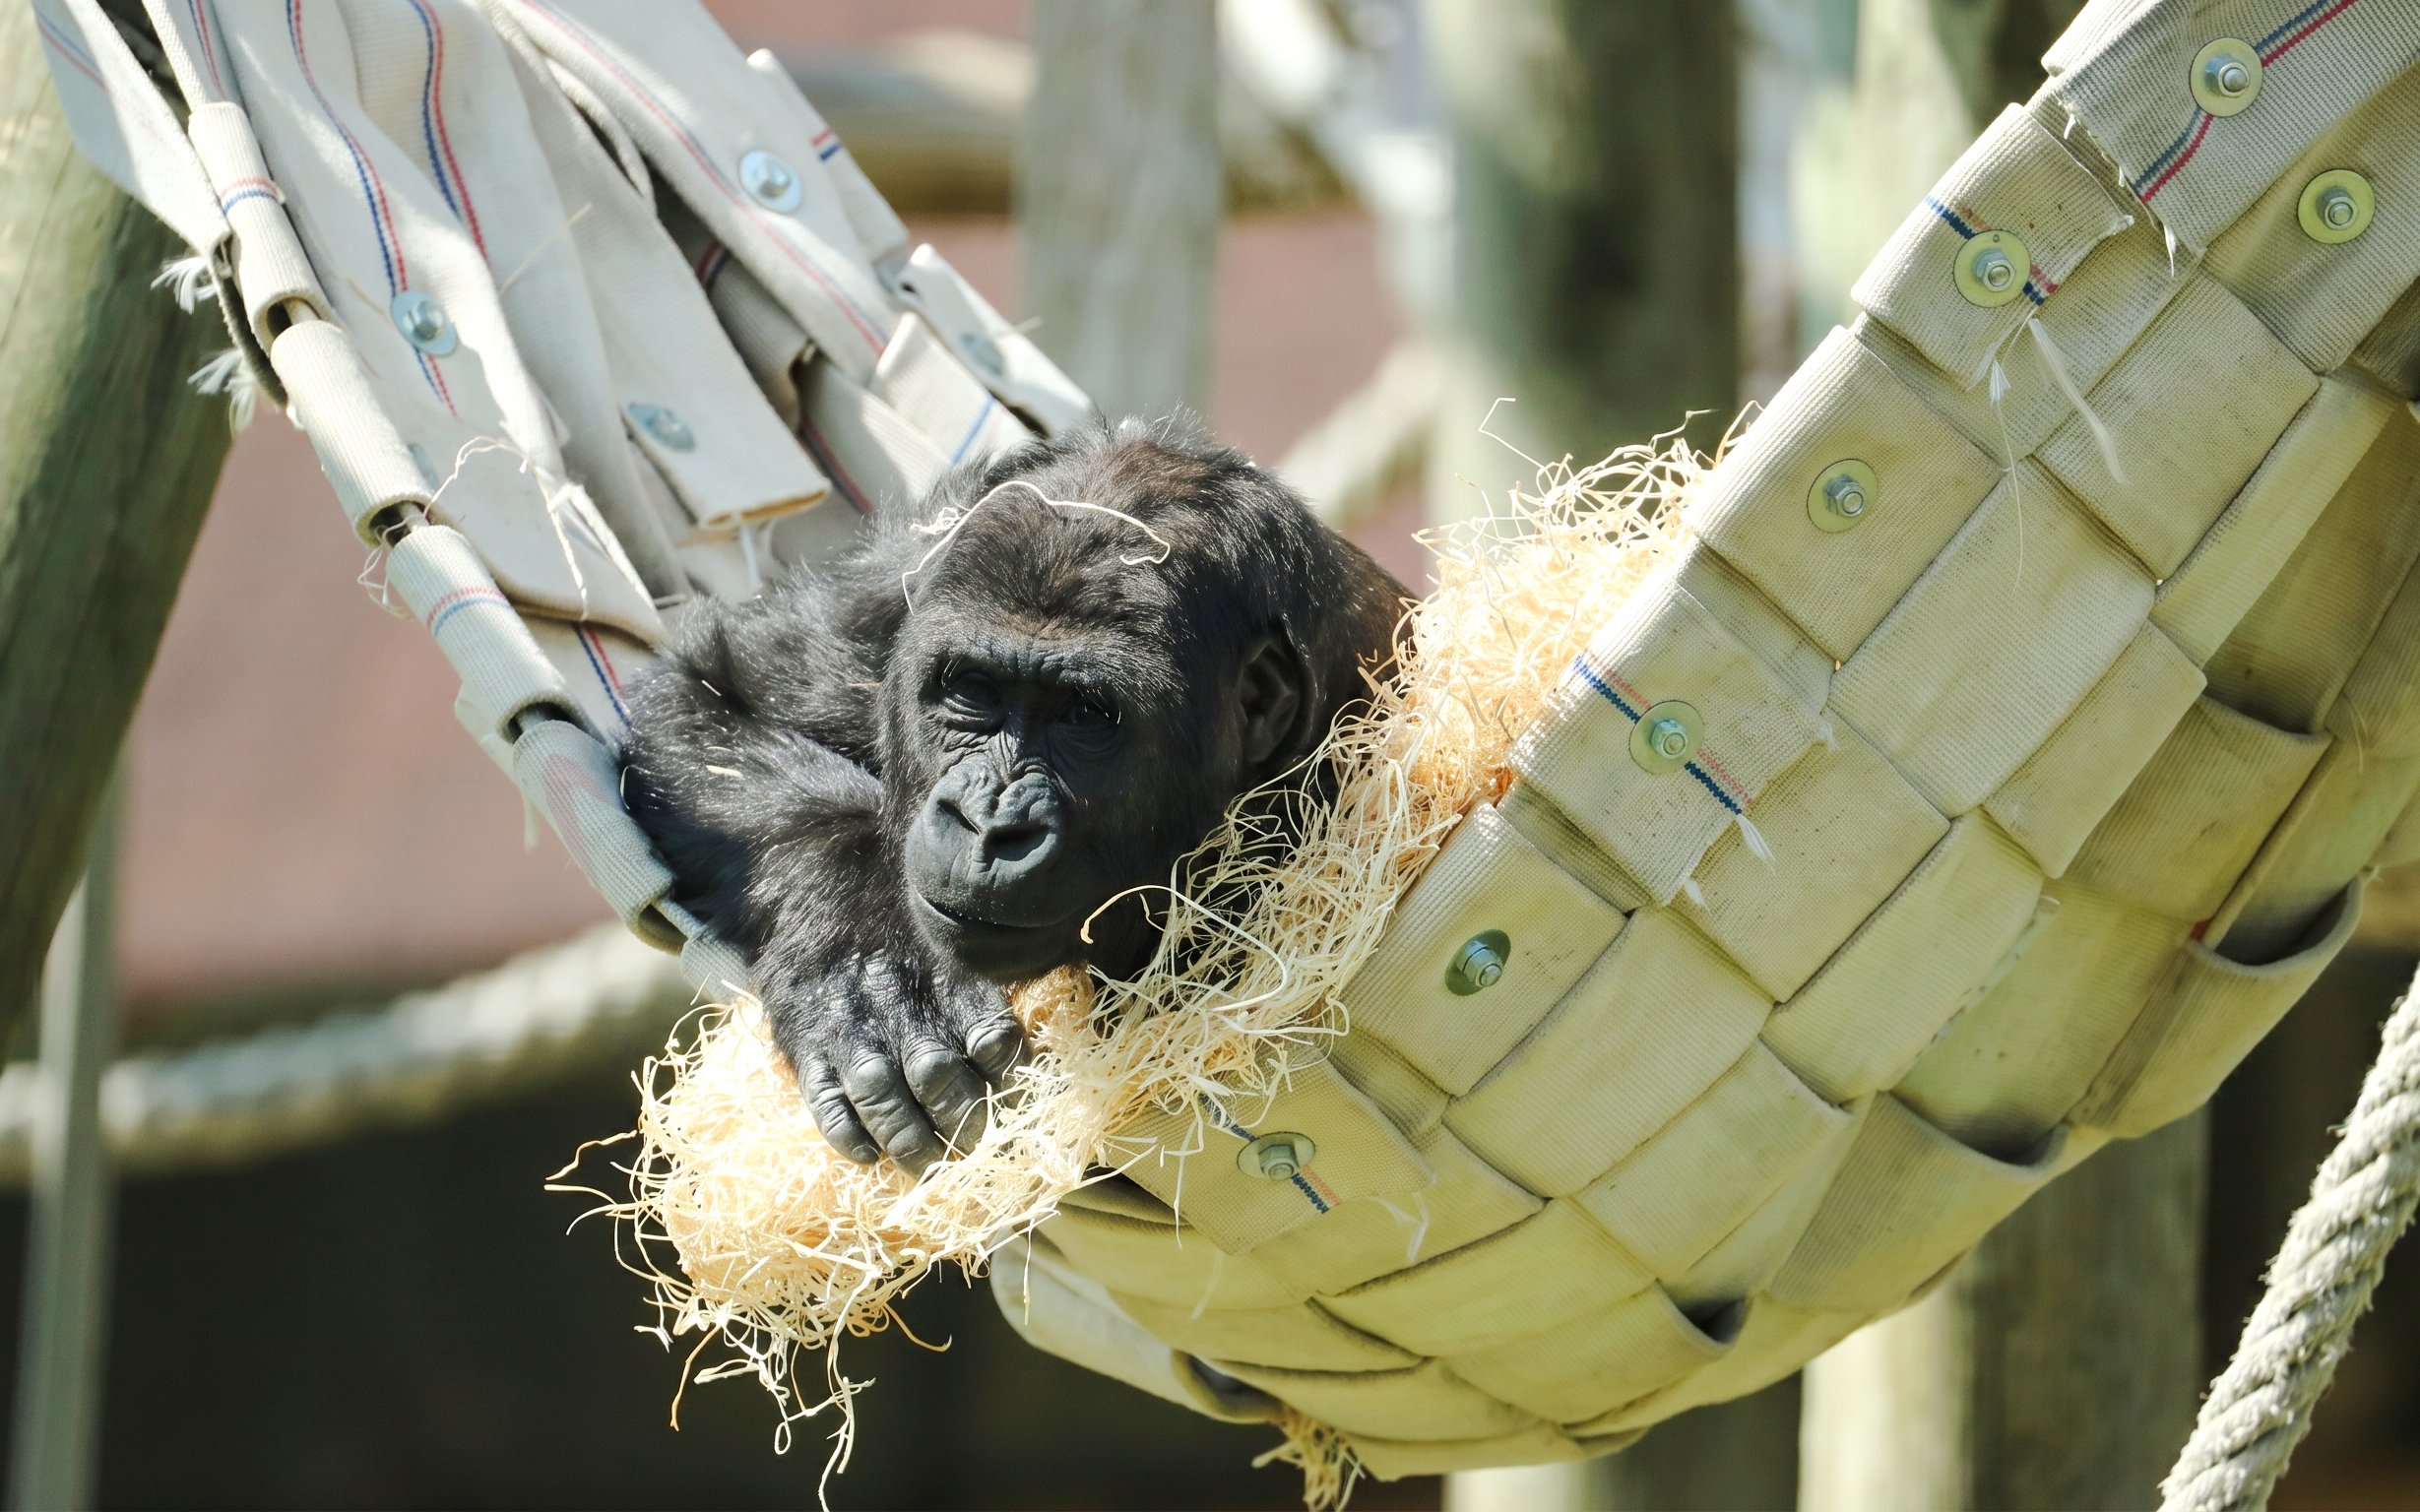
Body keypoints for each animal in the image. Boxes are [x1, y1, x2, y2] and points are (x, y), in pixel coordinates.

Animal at [620, 418, 1407, 1174]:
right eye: (972, 688)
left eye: (1088, 714)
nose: (989, 823)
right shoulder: (890, 593)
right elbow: (711, 697)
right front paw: (866, 965)